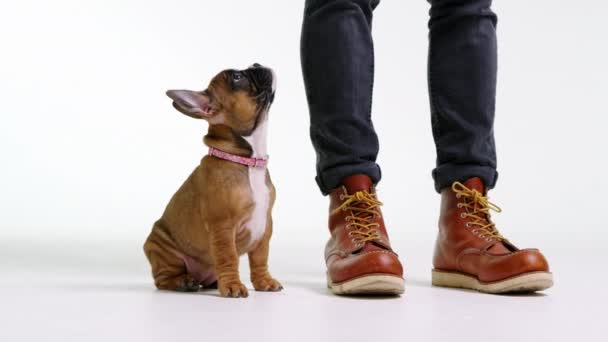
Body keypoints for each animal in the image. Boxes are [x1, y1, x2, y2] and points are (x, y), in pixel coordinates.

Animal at [144, 63, 282, 296]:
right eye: (237, 77)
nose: (256, 64)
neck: (248, 160)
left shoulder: (265, 226)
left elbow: (260, 257)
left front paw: (264, 281)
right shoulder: (223, 227)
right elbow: (228, 257)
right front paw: (233, 285)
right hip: (163, 250)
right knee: (163, 278)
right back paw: (183, 281)